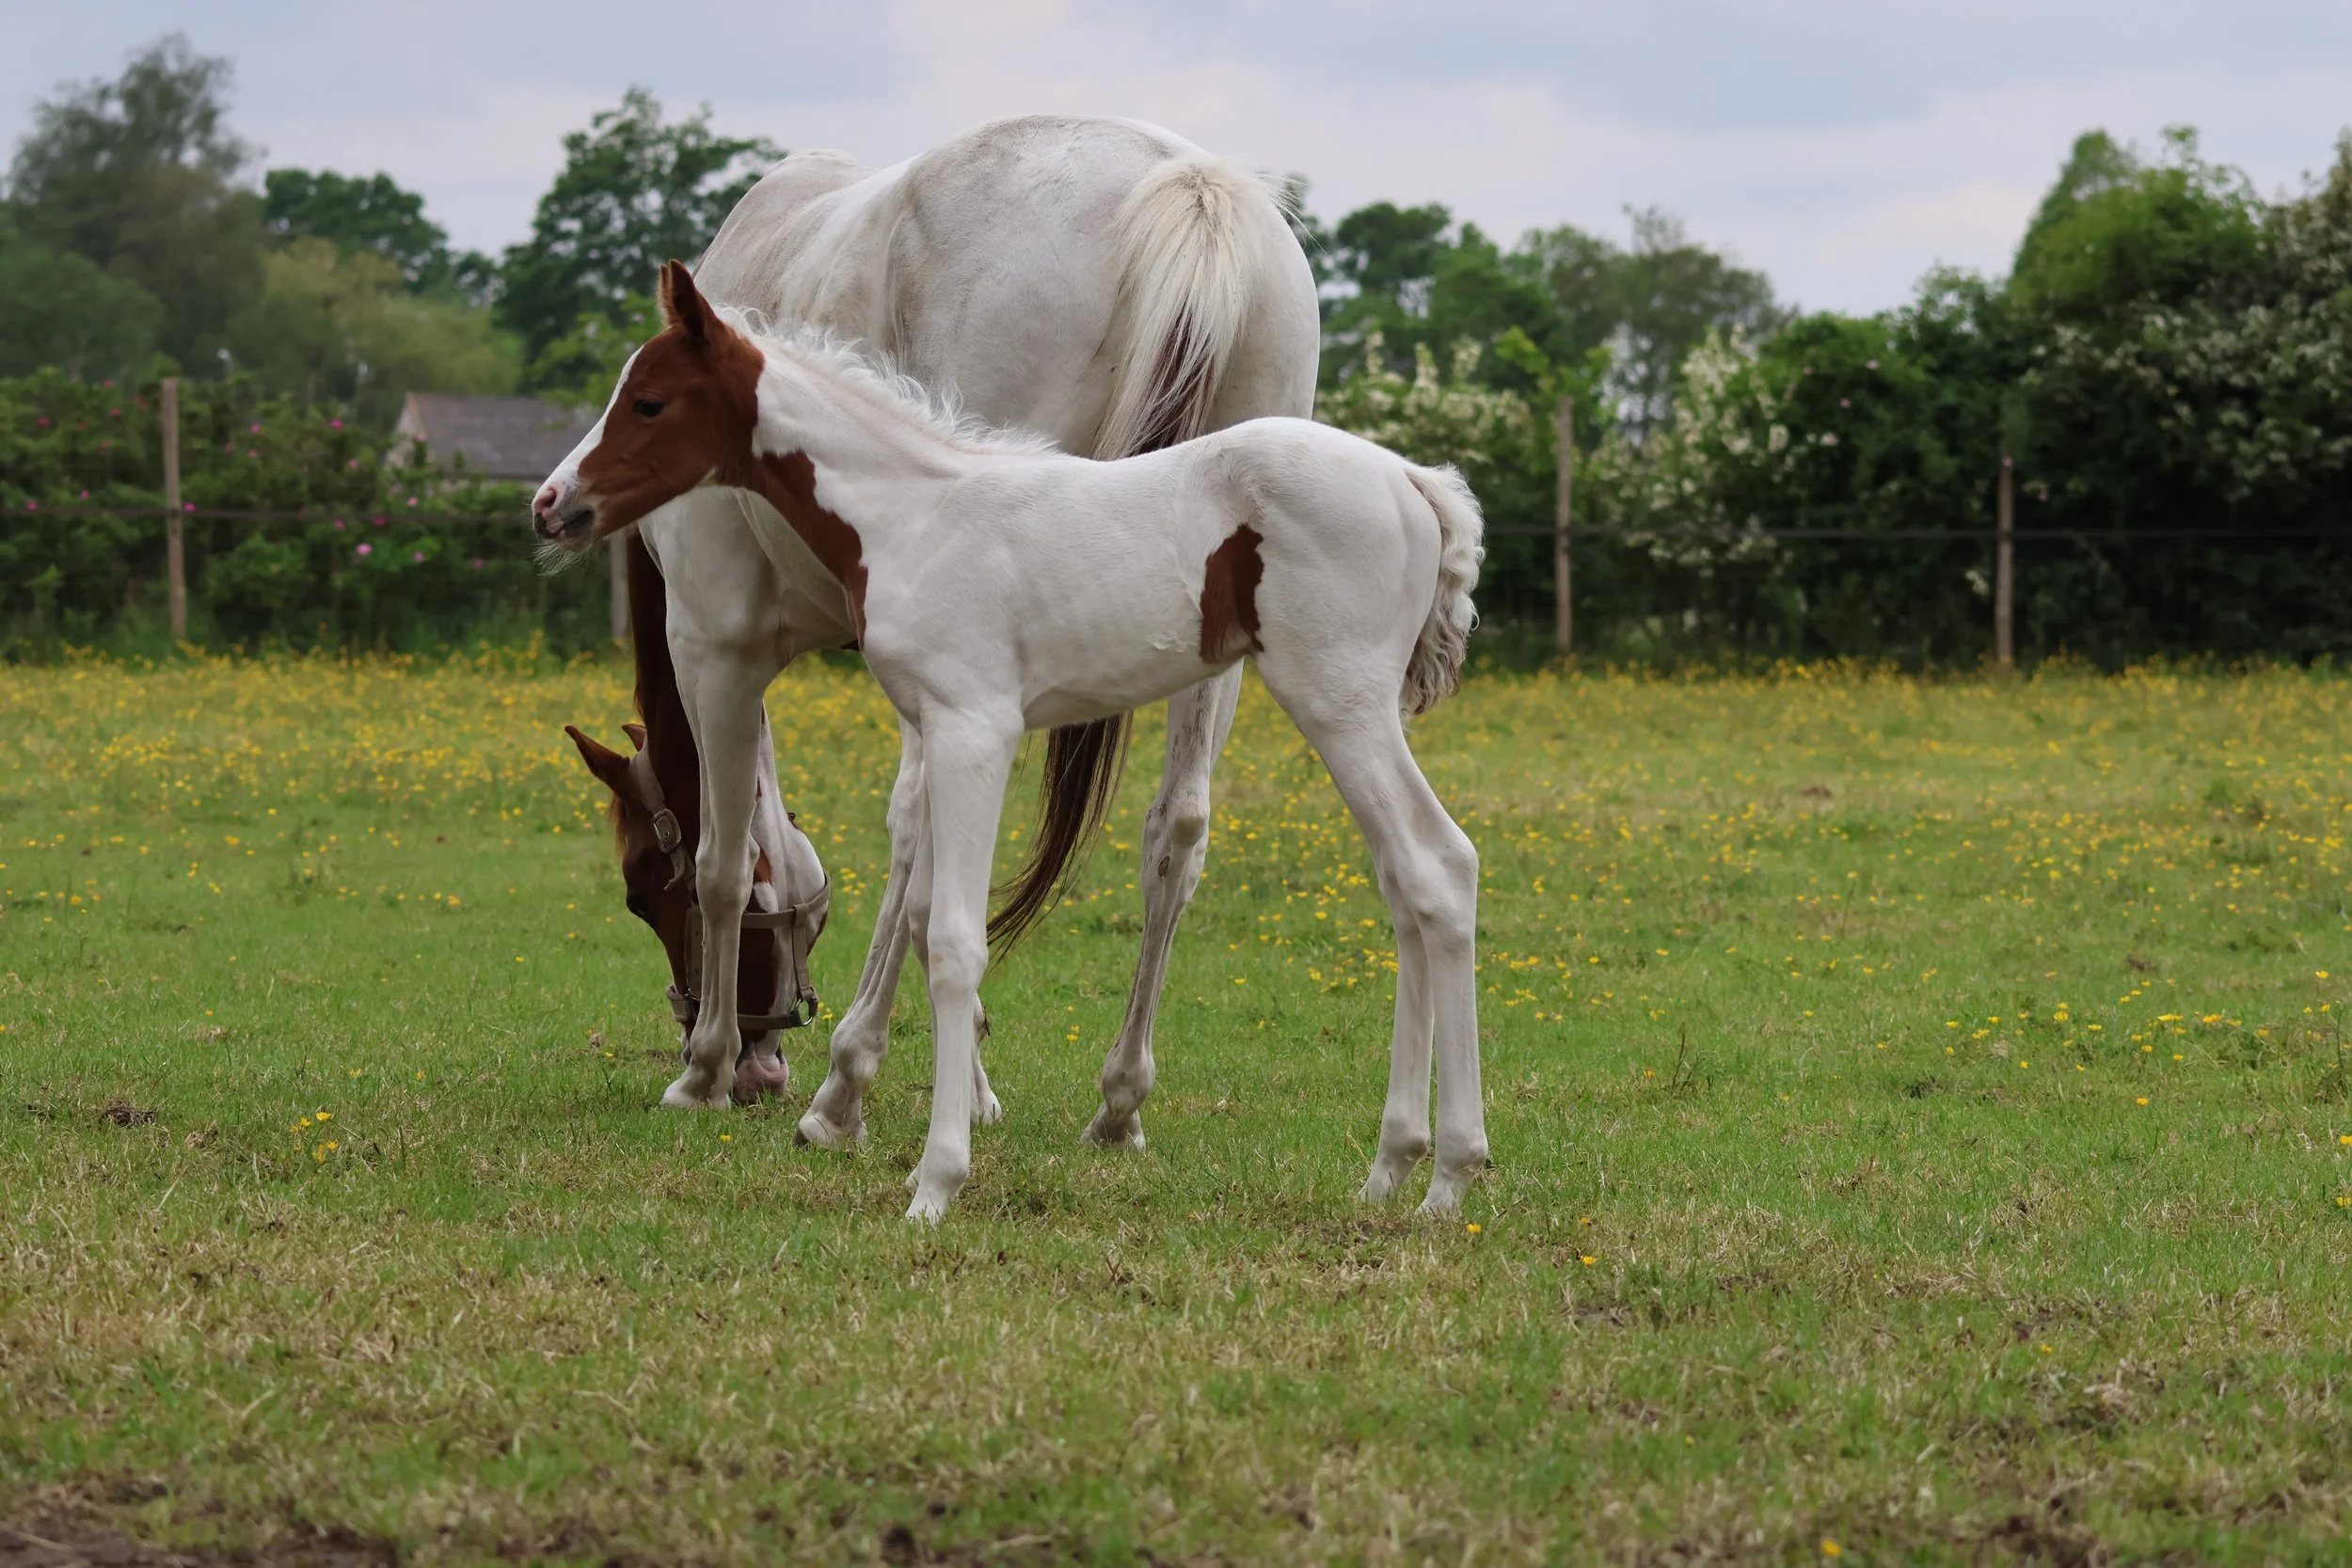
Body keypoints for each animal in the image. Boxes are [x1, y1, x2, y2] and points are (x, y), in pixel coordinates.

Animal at [536, 261, 1488, 1221]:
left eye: (649, 401)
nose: (551, 504)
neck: (913, 514)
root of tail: (1413, 479)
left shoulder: (973, 730)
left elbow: (956, 940)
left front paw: (935, 1179)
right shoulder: (934, 730)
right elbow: (923, 912)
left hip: (1339, 703)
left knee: (1437, 867)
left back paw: (1449, 1174)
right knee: (1408, 884)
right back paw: (1393, 1166)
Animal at [556, 117, 1319, 1147]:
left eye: (641, 886)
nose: (761, 1060)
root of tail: (1189, 187)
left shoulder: (716, 643)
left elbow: (727, 859)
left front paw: (707, 1065)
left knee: (917, 830)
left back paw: (845, 1081)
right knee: (1178, 827)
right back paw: (1118, 1099)